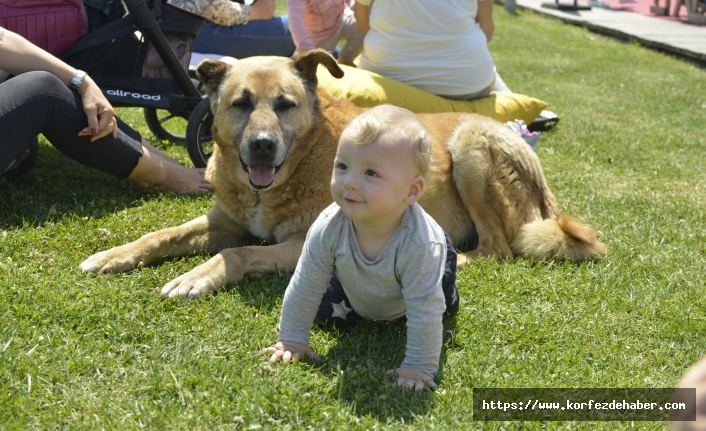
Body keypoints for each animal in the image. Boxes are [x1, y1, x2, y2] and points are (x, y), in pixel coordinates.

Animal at [78, 49, 604, 298]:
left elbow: (239, 253)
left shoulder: (302, 243)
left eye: (285, 105)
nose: (263, 146)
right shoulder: (223, 220)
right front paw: (115, 254)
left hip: (470, 143)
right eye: (241, 103)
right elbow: (161, 234)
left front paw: (196, 276)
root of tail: (548, 200)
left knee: (498, 250)